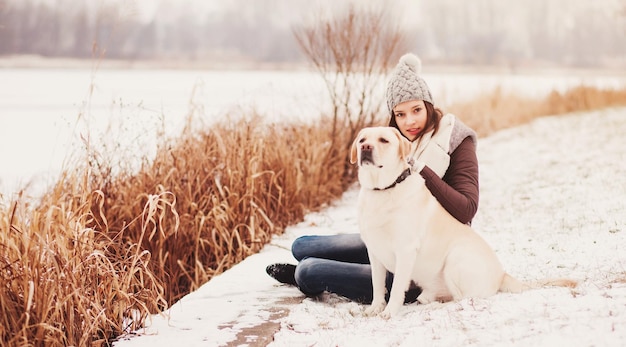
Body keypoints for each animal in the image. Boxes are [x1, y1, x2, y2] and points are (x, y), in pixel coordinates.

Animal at [348, 126, 572, 320]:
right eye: (362, 140)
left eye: (383, 140)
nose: (365, 148)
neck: (382, 190)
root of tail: (502, 274)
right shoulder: (375, 251)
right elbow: (377, 285)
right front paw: (376, 307)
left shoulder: (405, 250)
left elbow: (396, 289)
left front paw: (389, 312)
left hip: (455, 259)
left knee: (462, 299)